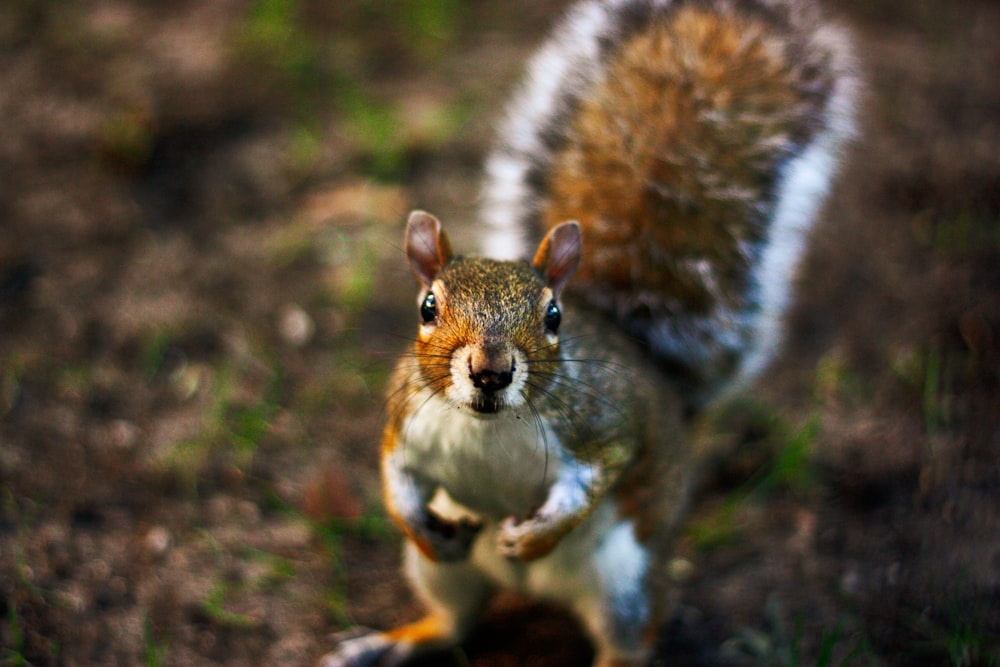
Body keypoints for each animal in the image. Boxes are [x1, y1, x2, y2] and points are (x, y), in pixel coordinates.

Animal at [322, 1, 860, 667]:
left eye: (554, 317)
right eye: (427, 307)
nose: (491, 372)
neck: (487, 425)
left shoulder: (605, 427)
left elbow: (594, 480)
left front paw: (536, 536)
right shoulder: (405, 422)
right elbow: (395, 480)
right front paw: (422, 529)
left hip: (627, 582)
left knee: (626, 641)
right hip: (448, 578)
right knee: (452, 622)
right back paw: (389, 642)